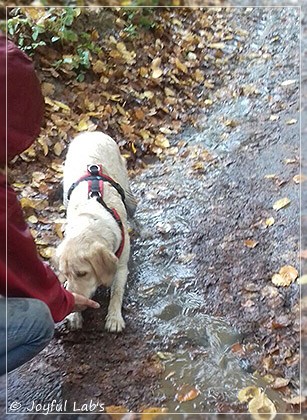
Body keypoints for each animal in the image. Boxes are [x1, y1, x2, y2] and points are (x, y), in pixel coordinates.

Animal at [55, 131, 137, 332]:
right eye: (65, 274)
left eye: (82, 273)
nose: (75, 304)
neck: (91, 221)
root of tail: (90, 132)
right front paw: (74, 316)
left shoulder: (121, 266)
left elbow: (117, 293)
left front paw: (114, 318)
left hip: (126, 188)